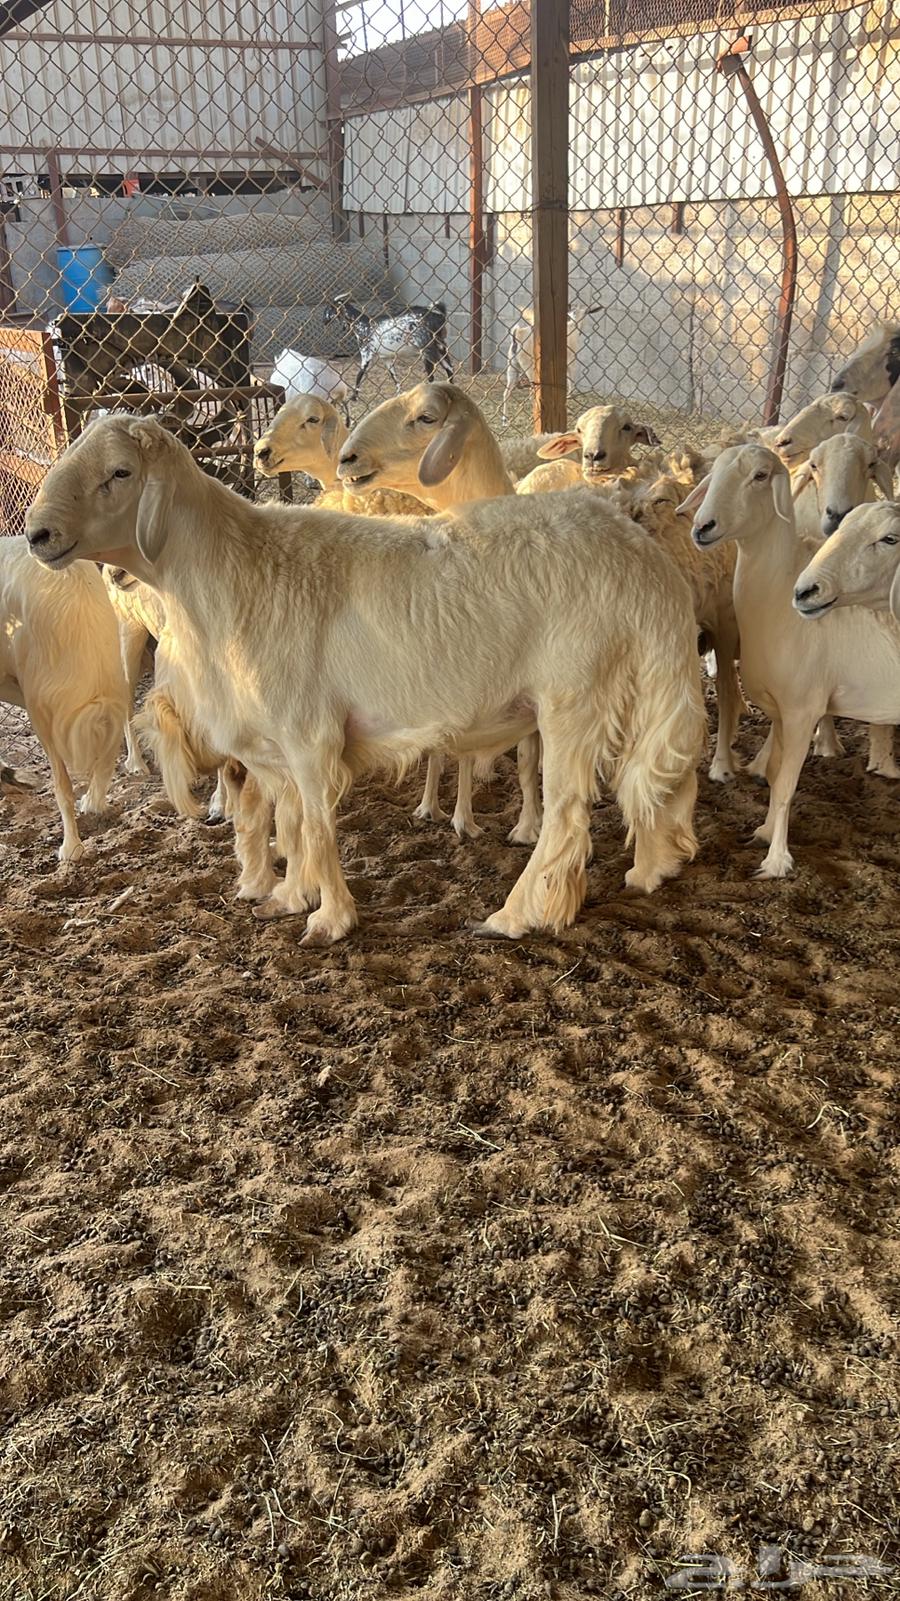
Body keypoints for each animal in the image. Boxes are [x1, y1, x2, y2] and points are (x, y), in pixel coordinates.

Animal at [26, 414, 707, 943]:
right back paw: (645, 870)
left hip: (575, 693)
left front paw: (329, 920)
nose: (37, 535)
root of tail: (638, 554)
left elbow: (317, 827)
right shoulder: (275, 741)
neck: (230, 573)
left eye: (120, 473)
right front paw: (289, 896)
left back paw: (514, 916)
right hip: (625, 689)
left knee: (567, 813)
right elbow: (289, 820)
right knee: (648, 784)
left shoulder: (309, 734)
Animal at [324, 296, 453, 399]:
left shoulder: (366, 353)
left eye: (330, 308)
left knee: (432, 375)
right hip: (441, 347)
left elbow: (359, 374)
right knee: (449, 369)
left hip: (427, 349)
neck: (363, 324)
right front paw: (399, 395)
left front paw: (354, 397)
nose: (324, 321)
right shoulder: (386, 358)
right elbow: (394, 377)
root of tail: (438, 316)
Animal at [679, 443, 900, 878]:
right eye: (713, 474)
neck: (774, 595)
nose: (702, 527)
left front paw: (776, 861)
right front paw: (764, 833)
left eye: (761, 476)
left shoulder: (803, 710)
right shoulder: (780, 713)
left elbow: (784, 785)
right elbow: (775, 771)